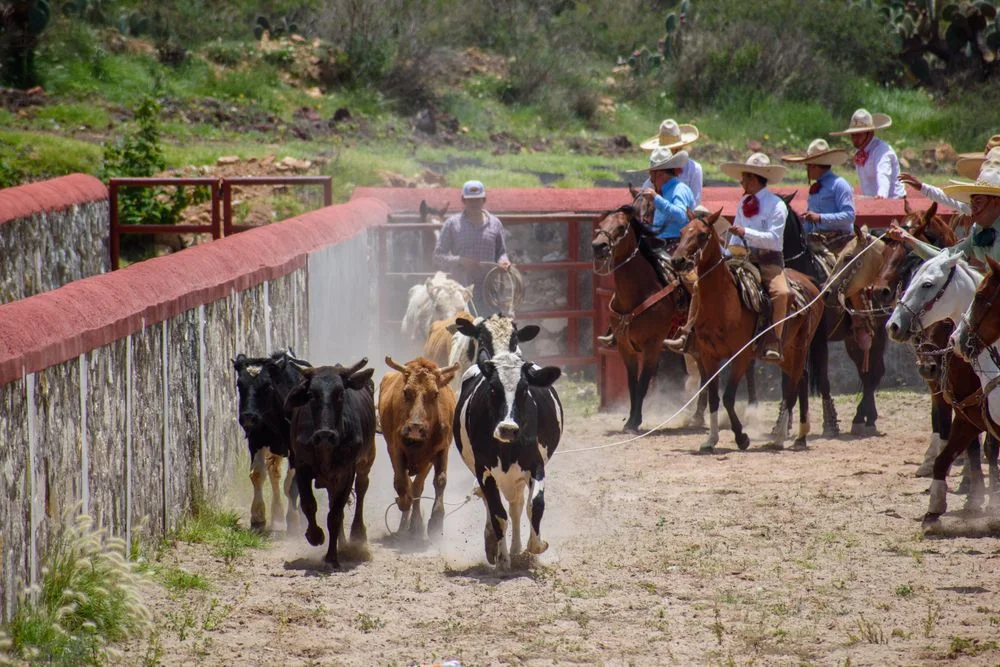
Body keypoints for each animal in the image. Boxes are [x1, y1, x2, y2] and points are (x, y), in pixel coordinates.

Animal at [591, 205, 707, 433]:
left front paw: (635, 421)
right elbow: (632, 384)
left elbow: (643, 383)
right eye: (601, 225)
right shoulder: (625, 347)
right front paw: (629, 420)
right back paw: (698, 416)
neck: (638, 293)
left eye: (621, 227)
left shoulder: (652, 347)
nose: (598, 246)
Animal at [670, 209, 824, 452]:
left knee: (792, 387)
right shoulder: (709, 356)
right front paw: (711, 440)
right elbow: (714, 398)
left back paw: (780, 438)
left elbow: (728, 397)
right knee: (801, 378)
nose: (677, 261)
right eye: (683, 231)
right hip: (786, 351)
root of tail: (808, 281)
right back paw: (799, 436)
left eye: (702, 235)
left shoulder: (741, 356)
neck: (725, 303)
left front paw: (742, 437)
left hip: (800, 346)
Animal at [886, 251, 999, 524]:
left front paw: (991, 497)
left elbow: (990, 450)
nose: (893, 325)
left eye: (927, 284)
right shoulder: (966, 413)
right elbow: (969, 451)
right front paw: (973, 498)